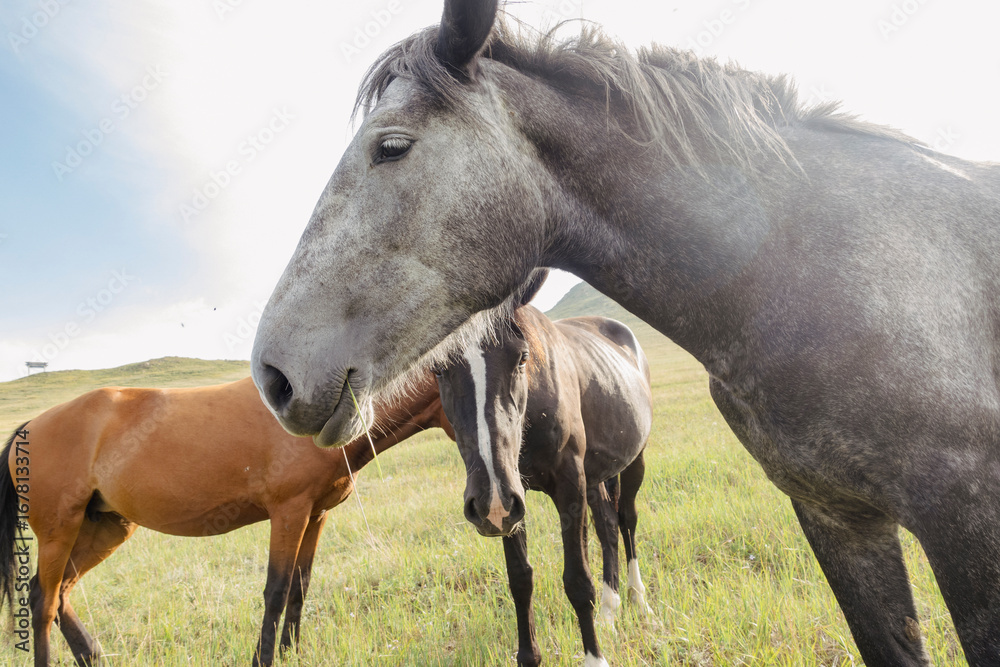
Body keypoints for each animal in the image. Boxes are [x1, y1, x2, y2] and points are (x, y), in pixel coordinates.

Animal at [0, 372, 450, 667]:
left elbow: (300, 588)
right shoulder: (289, 512)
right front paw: (264, 658)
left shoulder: (315, 515)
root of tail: (28, 427)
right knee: (43, 603)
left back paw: (92, 655)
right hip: (59, 531)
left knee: (59, 594)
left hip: (103, 529)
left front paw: (291, 651)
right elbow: (277, 591)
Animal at [434, 279, 653, 667]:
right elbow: (520, 579)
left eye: (522, 357)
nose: (490, 499)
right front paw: (529, 655)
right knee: (607, 526)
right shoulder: (509, 501)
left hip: (633, 462)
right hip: (592, 477)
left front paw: (594, 658)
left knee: (626, 520)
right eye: (438, 369)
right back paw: (610, 611)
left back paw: (637, 599)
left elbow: (578, 580)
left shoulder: (567, 484)